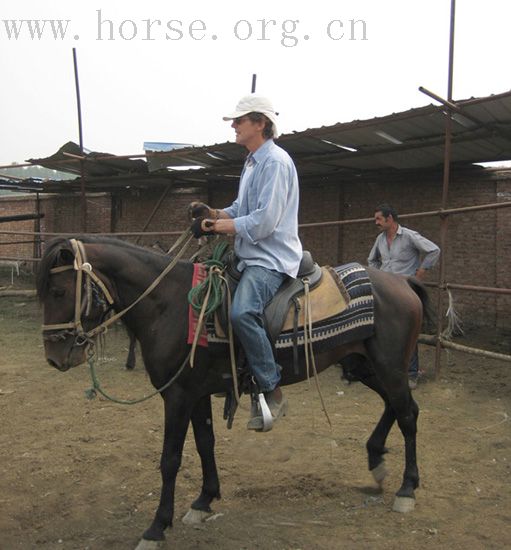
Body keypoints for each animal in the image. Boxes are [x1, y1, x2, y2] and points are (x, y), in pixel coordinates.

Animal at [37, 237, 428, 550]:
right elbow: (205, 443)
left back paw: (407, 489)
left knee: (408, 414)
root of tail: (401, 281)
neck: (171, 305)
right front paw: (203, 501)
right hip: (364, 365)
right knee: (398, 406)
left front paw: (156, 527)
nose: (55, 357)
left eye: (59, 292)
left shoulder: (177, 396)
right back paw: (376, 460)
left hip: (389, 366)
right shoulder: (195, 394)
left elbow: (170, 459)